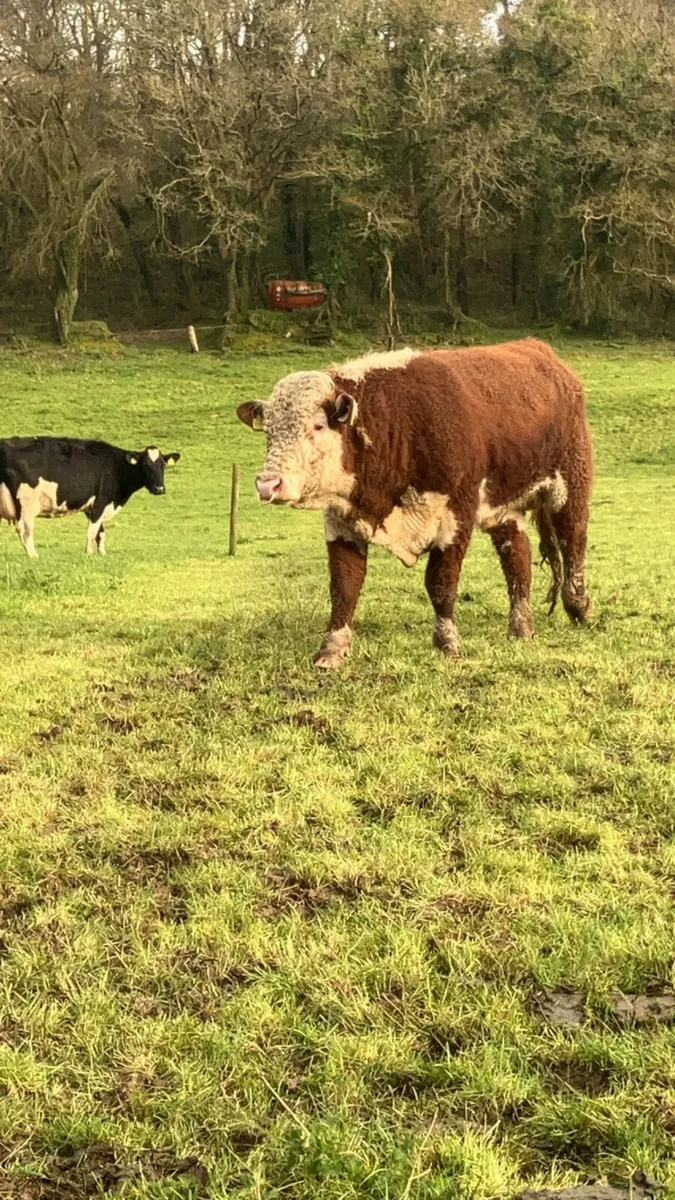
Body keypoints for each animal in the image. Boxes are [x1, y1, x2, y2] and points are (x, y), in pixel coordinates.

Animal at [0, 438, 180, 559]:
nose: (159, 489)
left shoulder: (92, 507)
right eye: (145, 466)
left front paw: (102, 554)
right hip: (26, 503)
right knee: (25, 530)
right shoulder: (100, 502)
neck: (115, 467)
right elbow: (91, 532)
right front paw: (89, 554)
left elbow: (100, 533)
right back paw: (34, 556)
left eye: (163, 466)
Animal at [237, 340, 593, 669]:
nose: (268, 484)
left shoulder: (456, 516)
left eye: (318, 425)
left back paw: (578, 605)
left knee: (573, 538)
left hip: (572, 480)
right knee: (517, 557)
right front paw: (332, 650)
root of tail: (540, 351)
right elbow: (344, 586)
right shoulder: (341, 522)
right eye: (268, 431)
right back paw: (521, 627)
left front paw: (447, 643)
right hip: (504, 505)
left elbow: (440, 582)